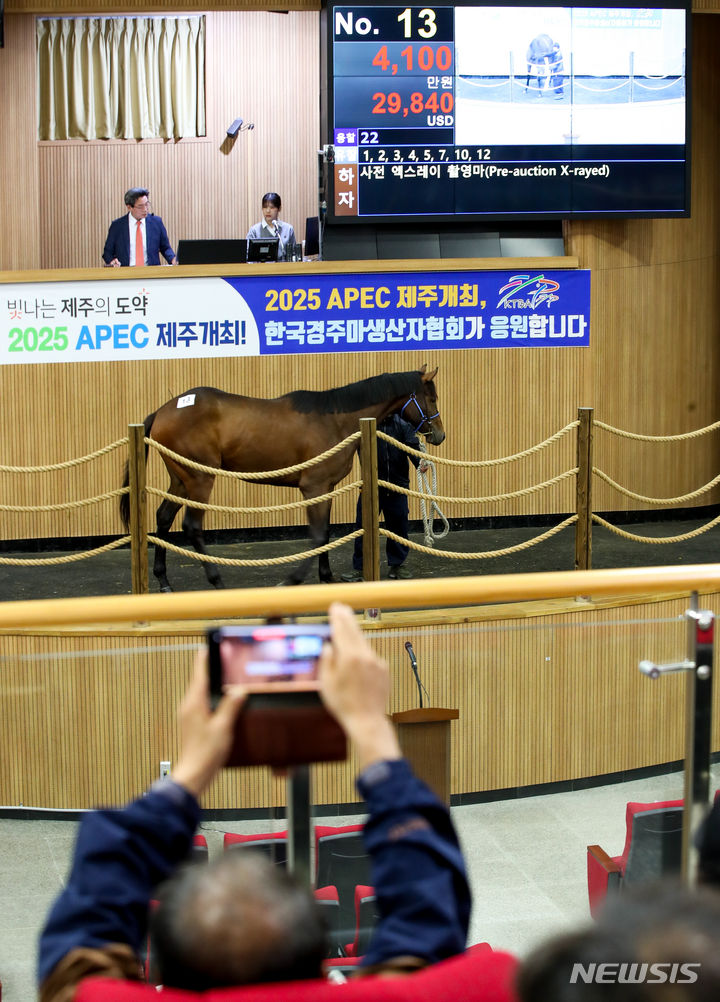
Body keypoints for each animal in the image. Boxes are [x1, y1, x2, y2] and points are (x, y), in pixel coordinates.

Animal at [119, 366, 444, 585]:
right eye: (431, 399)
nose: (439, 435)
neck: (335, 420)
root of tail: (162, 411)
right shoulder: (314, 487)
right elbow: (318, 535)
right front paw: (293, 580)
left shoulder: (325, 488)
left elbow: (325, 533)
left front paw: (326, 577)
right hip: (200, 479)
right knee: (192, 526)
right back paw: (217, 581)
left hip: (181, 479)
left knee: (163, 517)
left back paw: (163, 581)